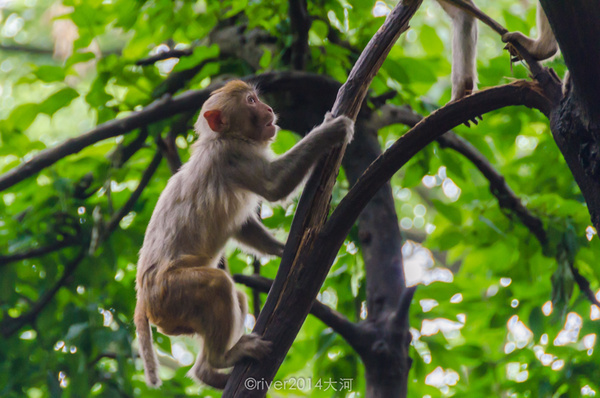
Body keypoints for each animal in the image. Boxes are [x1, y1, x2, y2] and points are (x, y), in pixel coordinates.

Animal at [134, 79, 354, 390]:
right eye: (251, 101)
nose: (270, 109)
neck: (221, 138)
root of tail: (143, 299)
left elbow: (243, 226)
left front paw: (284, 249)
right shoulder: (232, 156)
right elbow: (275, 185)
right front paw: (330, 130)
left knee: (234, 296)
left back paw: (207, 371)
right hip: (171, 293)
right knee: (218, 286)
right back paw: (221, 359)